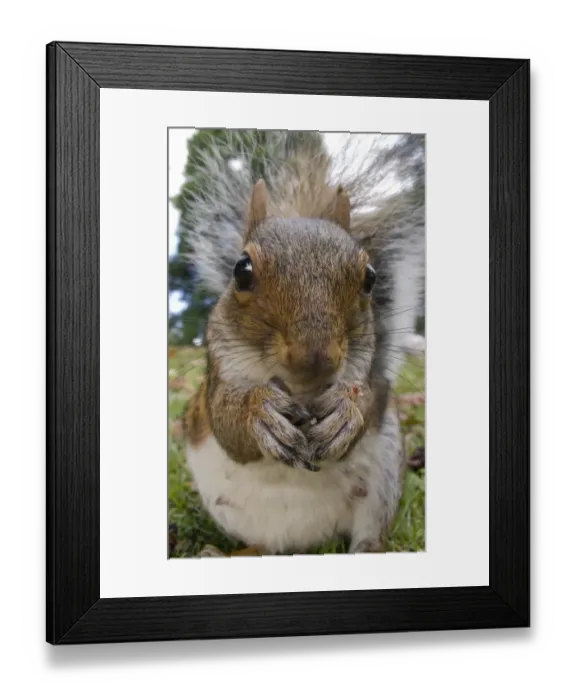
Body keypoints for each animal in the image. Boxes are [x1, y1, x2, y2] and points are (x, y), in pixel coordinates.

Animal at [181, 133, 424, 556]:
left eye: (370, 276)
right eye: (241, 270)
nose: (316, 355)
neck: (299, 388)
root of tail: (306, 542)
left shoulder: (365, 371)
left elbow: (365, 400)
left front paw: (347, 411)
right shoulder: (218, 372)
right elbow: (228, 422)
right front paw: (259, 410)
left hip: (383, 484)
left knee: (367, 534)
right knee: (260, 546)